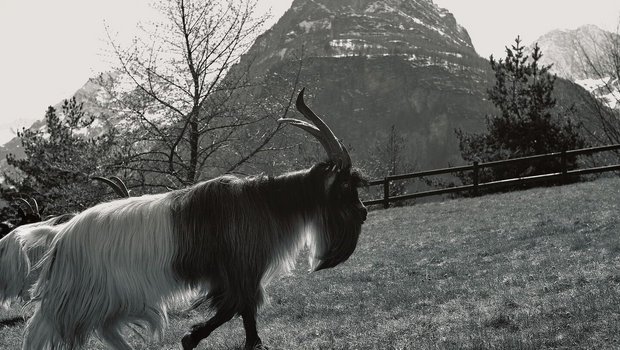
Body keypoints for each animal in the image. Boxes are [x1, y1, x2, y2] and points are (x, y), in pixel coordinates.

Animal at [23, 89, 368, 350]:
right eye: (346, 185)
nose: (364, 212)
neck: (263, 202)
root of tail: (61, 235)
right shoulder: (241, 267)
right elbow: (238, 306)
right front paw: (195, 338)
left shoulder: (235, 271)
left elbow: (242, 309)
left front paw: (238, 341)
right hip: (78, 296)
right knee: (42, 328)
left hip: (106, 298)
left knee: (105, 329)